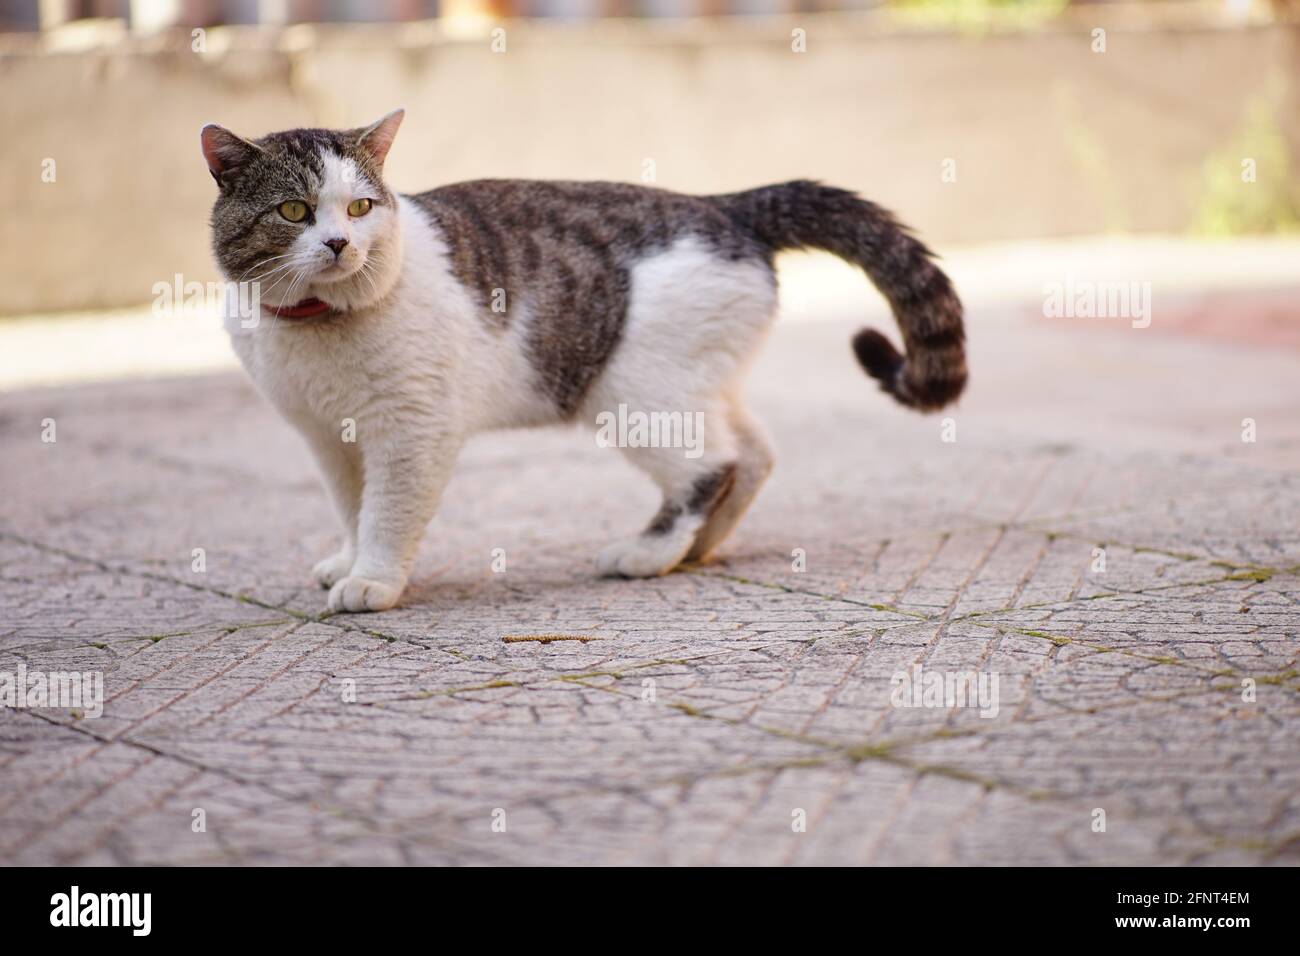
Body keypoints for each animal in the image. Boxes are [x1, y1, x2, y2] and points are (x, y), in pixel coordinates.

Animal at [197, 110, 961, 613]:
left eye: (360, 208)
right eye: (294, 211)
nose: (338, 244)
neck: (315, 325)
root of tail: (722, 207)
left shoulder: (411, 432)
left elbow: (387, 512)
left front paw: (374, 580)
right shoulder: (329, 438)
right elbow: (351, 508)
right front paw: (348, 559)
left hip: (636, 397)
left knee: (711, 466)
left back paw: (649, 553)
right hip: (694, 383)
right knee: (755, 453)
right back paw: (698, 548)